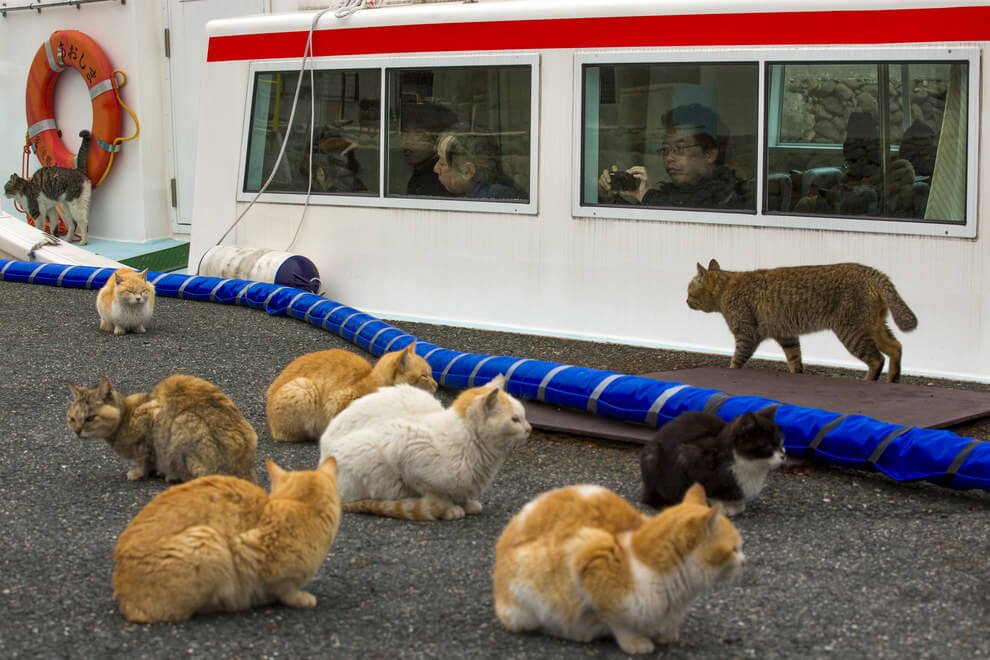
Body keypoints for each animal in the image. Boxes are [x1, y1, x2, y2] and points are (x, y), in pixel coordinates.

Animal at [114, 456, 340, 620]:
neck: (298, 505)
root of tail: (125, 600)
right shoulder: (249, 550)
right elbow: (284, 587)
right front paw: (300, 598)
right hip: (209, 540)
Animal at [322, 374, 532, 520]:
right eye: (515, 420)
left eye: (524, 416)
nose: (529, 429)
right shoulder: (405, 445)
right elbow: (436, 493)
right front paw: (449, 508)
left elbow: (462, 494)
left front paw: (466, 504)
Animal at [496, 482, 744, 652]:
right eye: (734, 549)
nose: (746, 561)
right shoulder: (591, 552)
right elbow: (616, 621)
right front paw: (634, 642)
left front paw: (665, 633)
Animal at [644, 408, 792, 516]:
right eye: (768, 446)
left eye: (781, 442)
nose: (783, 455)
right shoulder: (688, 457)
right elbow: (705, 489)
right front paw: (720, 506)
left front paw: (737, 505)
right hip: (652, 456)